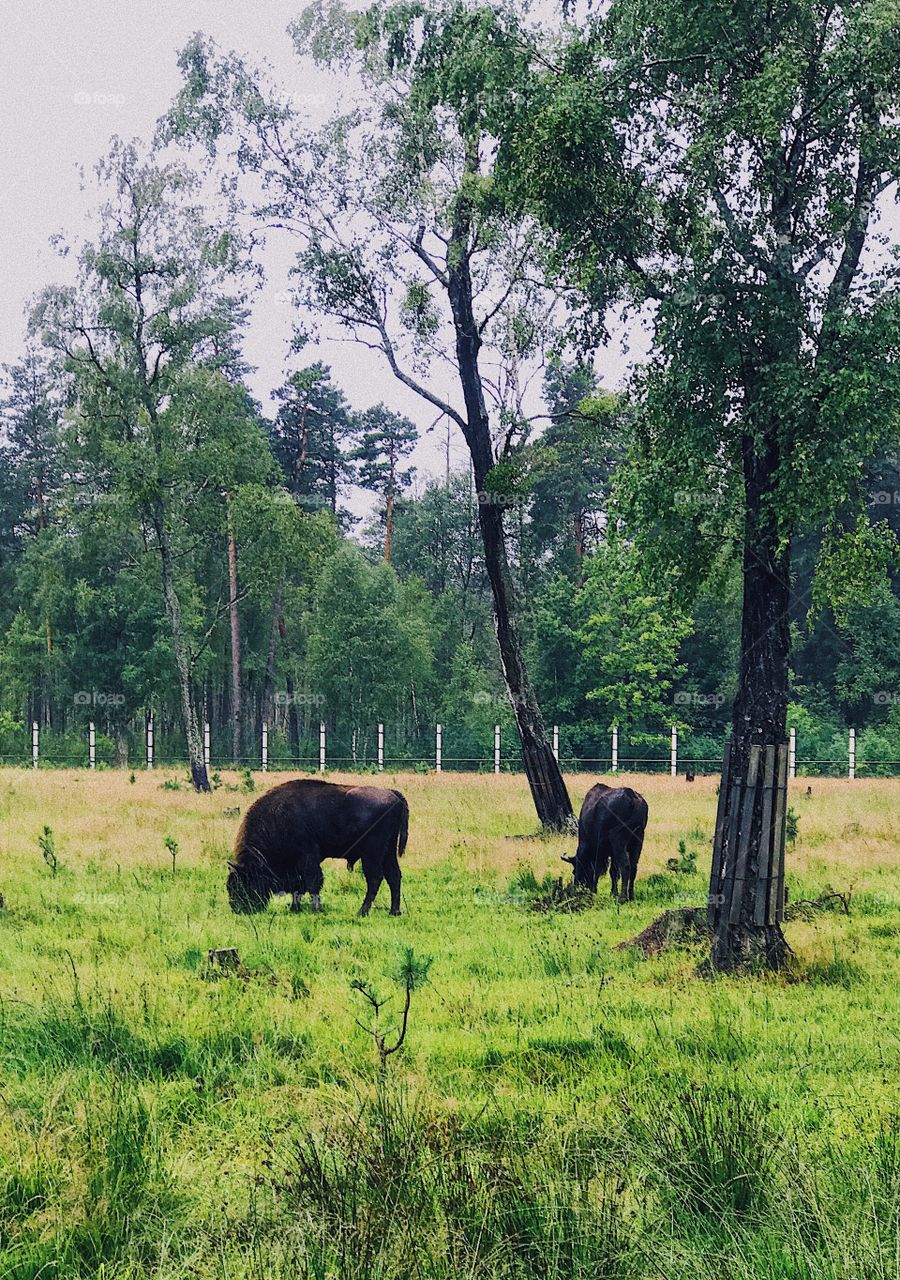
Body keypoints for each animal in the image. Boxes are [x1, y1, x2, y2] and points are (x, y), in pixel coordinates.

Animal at [227, 779, 408, 916]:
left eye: (242, 884)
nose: (237, 909)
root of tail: (393, 795)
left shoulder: (308, 857)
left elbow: (312, 882)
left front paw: (315, 909)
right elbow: (300, 886)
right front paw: (295, 908)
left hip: (371, 853)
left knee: (375, 878)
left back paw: (361, 912)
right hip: (388, 851)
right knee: (394, 876)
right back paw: (394, 912)